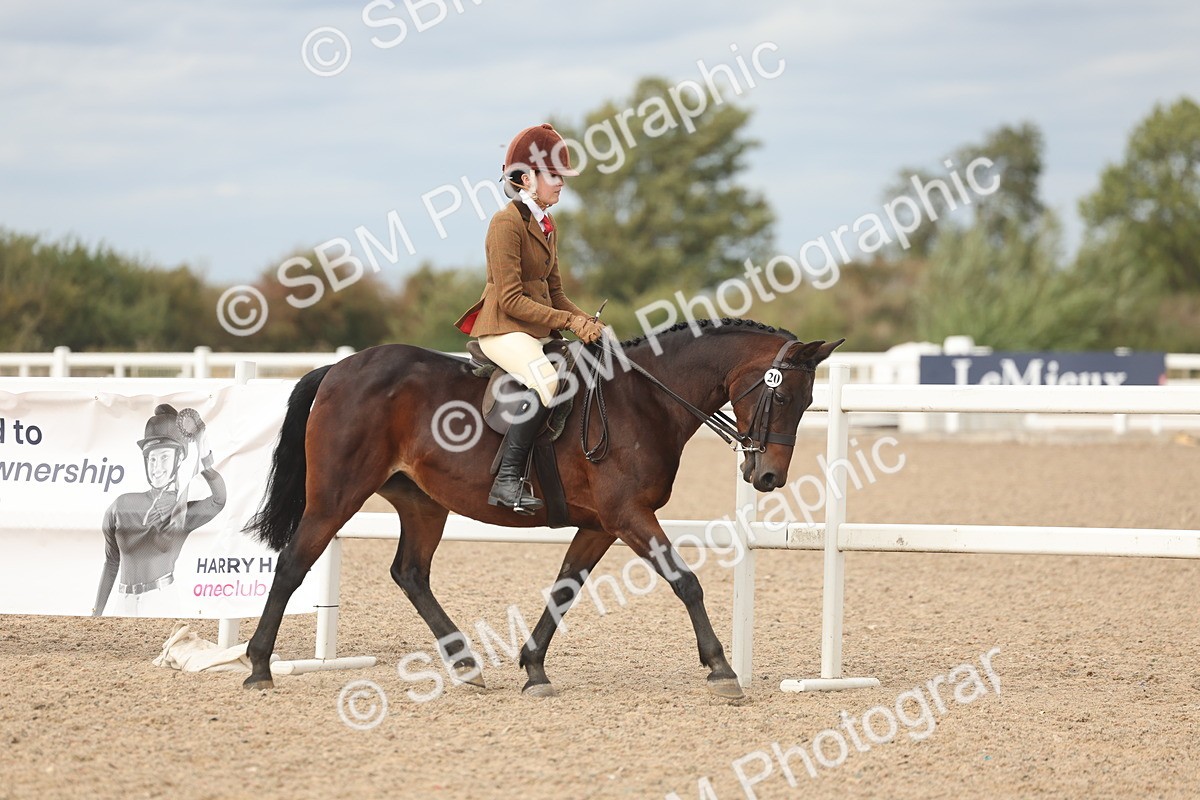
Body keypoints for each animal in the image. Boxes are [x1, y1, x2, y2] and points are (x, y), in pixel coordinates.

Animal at [242, 318, 843, 699]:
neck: (646, 398)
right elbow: (685, 580)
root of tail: (339, 369)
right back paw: (259, 666)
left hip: (421, 503)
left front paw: (533, 669)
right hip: (336, 496)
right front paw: (720, 668)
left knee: (410, 572)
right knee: (293, 564)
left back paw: (466, 664)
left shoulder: (602, 525)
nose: (768, 477)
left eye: (810, 401)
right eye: (782, 396)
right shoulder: (629, 516)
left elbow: (564, 590)